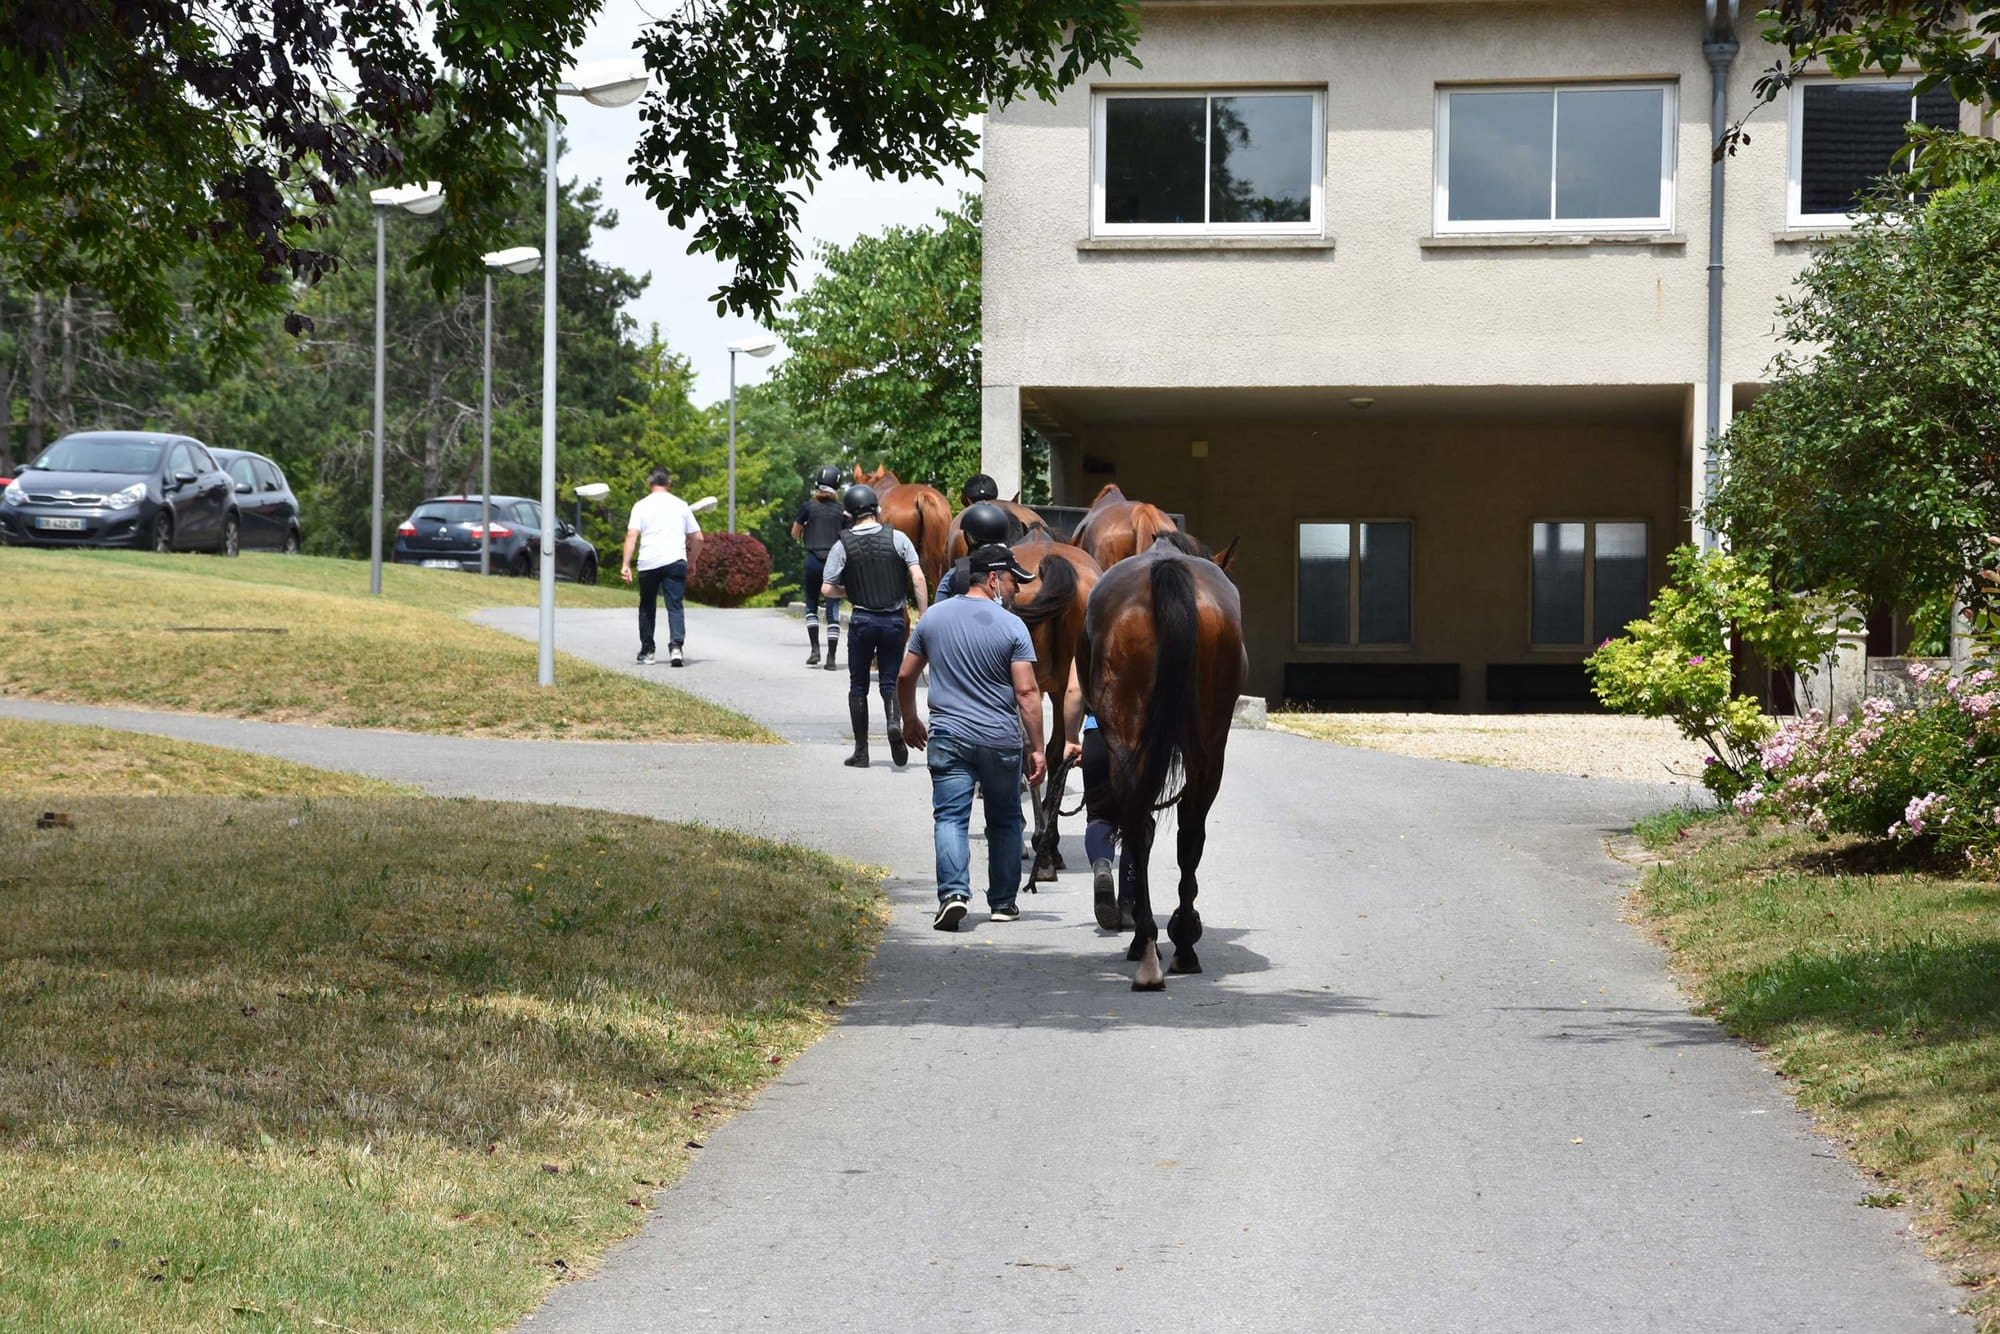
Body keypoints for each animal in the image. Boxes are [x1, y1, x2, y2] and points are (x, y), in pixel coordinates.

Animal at [1088, 532, 1240, 992]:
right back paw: (1180, 944)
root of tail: (1168, 569)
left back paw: (1150, 944)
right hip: (1208, 746)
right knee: (1188, 831)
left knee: (1141, 826)